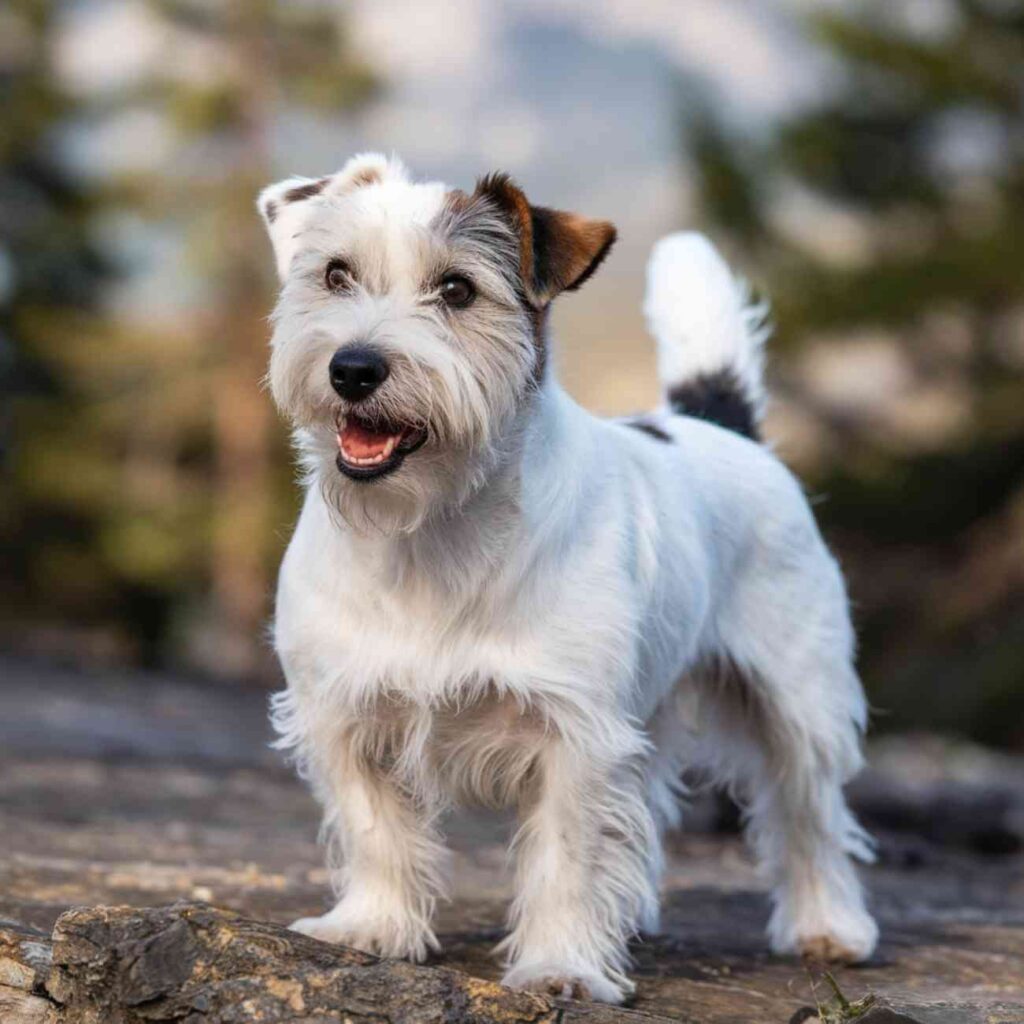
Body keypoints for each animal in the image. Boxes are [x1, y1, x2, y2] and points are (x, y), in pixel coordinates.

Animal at [253, 151, 872, 999]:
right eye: (335, 274)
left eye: (457, 289)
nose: (353, 368)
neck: (431, 527)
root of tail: (720, 426)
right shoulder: (343, 711)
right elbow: (374, 826)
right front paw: (371, 927)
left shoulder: (575, 733)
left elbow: (568, 855)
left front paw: (563, 967)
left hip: (796, 698)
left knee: (810, 814)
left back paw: (827, 927)